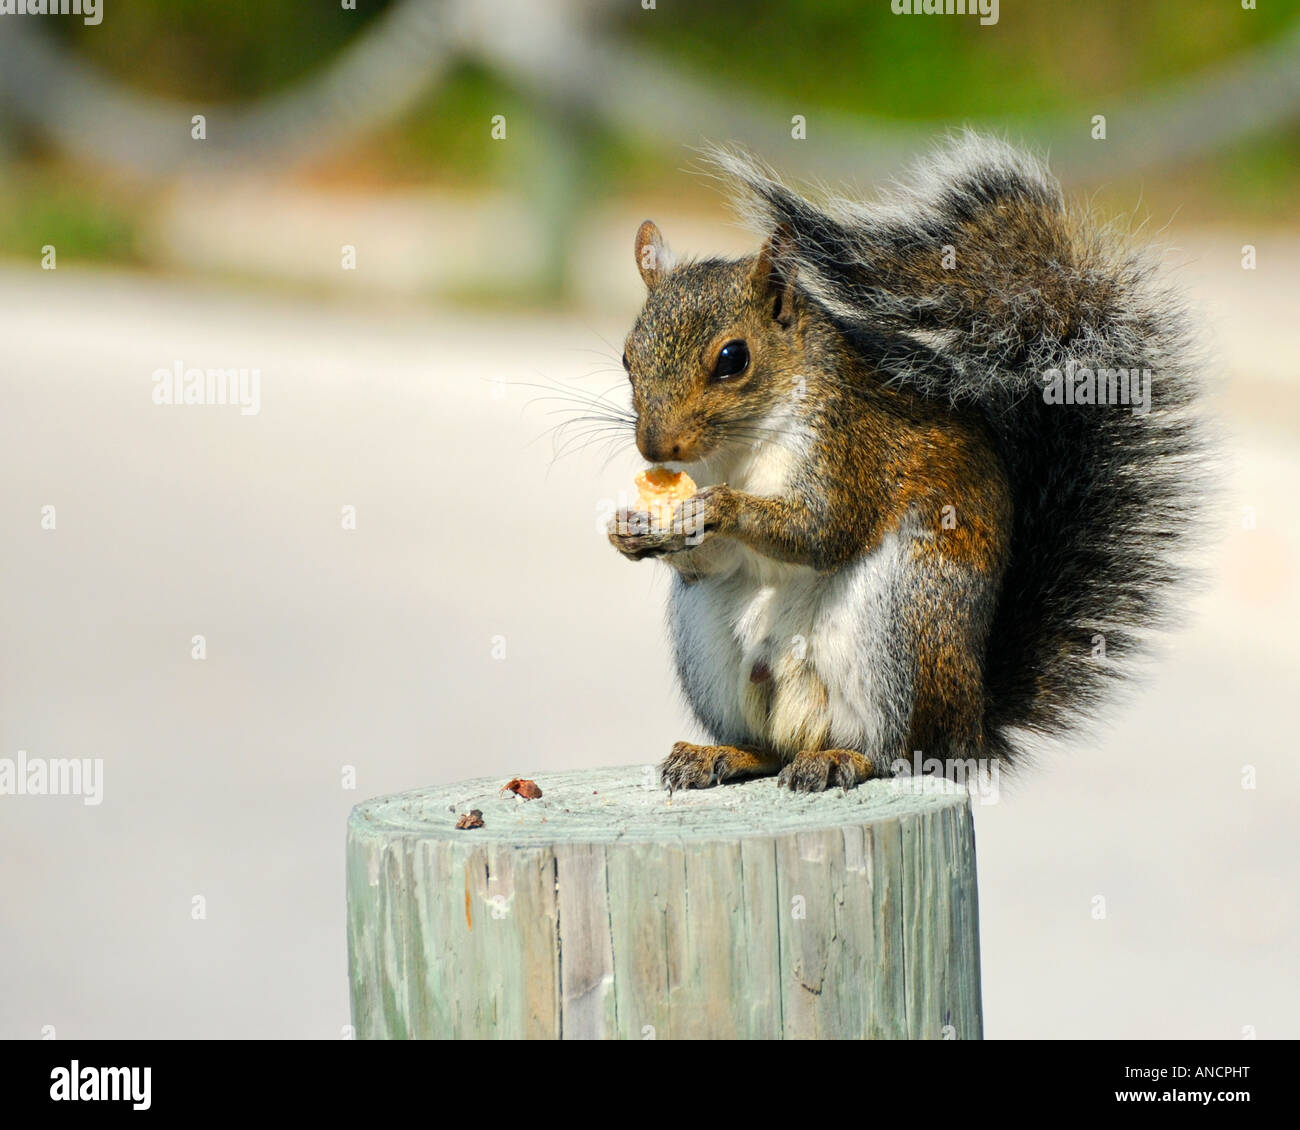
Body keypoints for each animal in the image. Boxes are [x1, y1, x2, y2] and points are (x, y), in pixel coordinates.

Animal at [606, 132, 1207, 793]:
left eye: (732, 359)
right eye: (628, 357)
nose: (656, 448)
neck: (737, 448)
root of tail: (971, 732)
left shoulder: (850, 447)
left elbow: (826, 530)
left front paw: (718, 507)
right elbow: (707, 561)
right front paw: (632, 531)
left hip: (907, 627)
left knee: (899, 751)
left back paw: (845, 758)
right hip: (711, 646)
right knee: (769, 747)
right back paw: (725, 753)